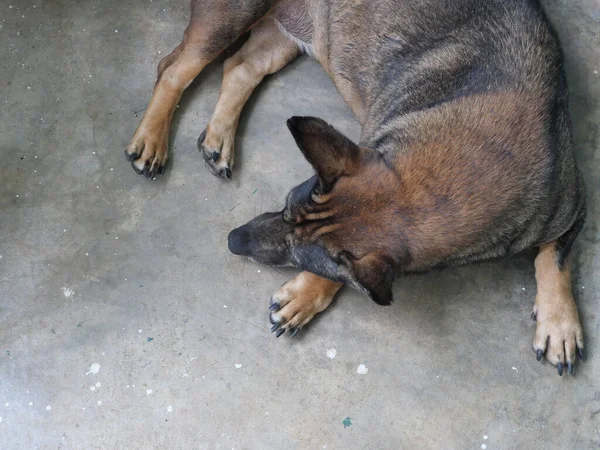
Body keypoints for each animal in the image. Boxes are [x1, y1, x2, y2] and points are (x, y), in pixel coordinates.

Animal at [125, 0, 584, 376]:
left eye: (295, 253)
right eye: (284, 206)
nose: (232, 240)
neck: (471, 165)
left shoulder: (571, 206)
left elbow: (555, 257)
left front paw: (559, 322)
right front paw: (306, 295)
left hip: (286, 37)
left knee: (240, 67)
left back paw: (219, 135)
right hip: (230, 17)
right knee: (175, 68)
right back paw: (152, 138)